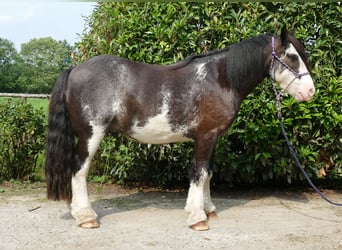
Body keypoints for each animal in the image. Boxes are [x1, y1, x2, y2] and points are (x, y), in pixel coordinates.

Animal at [44, 26, 316, 230]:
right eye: (292, 56)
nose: (310, 91)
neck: (220, 79)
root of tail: (74, 69)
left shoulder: (212, 138)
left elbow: (208, 173)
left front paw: (208, 209)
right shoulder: (205, 137)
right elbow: (199, 173)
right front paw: (197, 218)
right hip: (91, 134)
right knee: (79, 169)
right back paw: (86, 216)